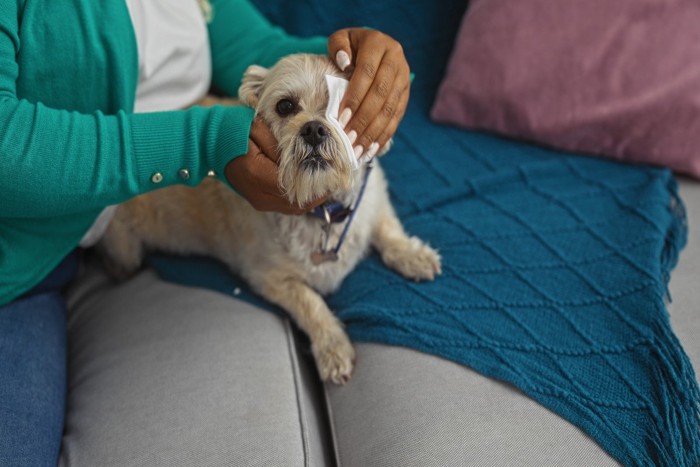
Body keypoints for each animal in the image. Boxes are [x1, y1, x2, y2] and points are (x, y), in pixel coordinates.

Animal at [98, 54, 440, 384]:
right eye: (285, 106)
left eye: (344, 106)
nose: (313, 129)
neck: (323, 209)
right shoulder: (267, 277)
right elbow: (311, 302)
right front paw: (333, 348)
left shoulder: (374, 201)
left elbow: (389, 231)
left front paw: (414, 256)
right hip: (125, 245)